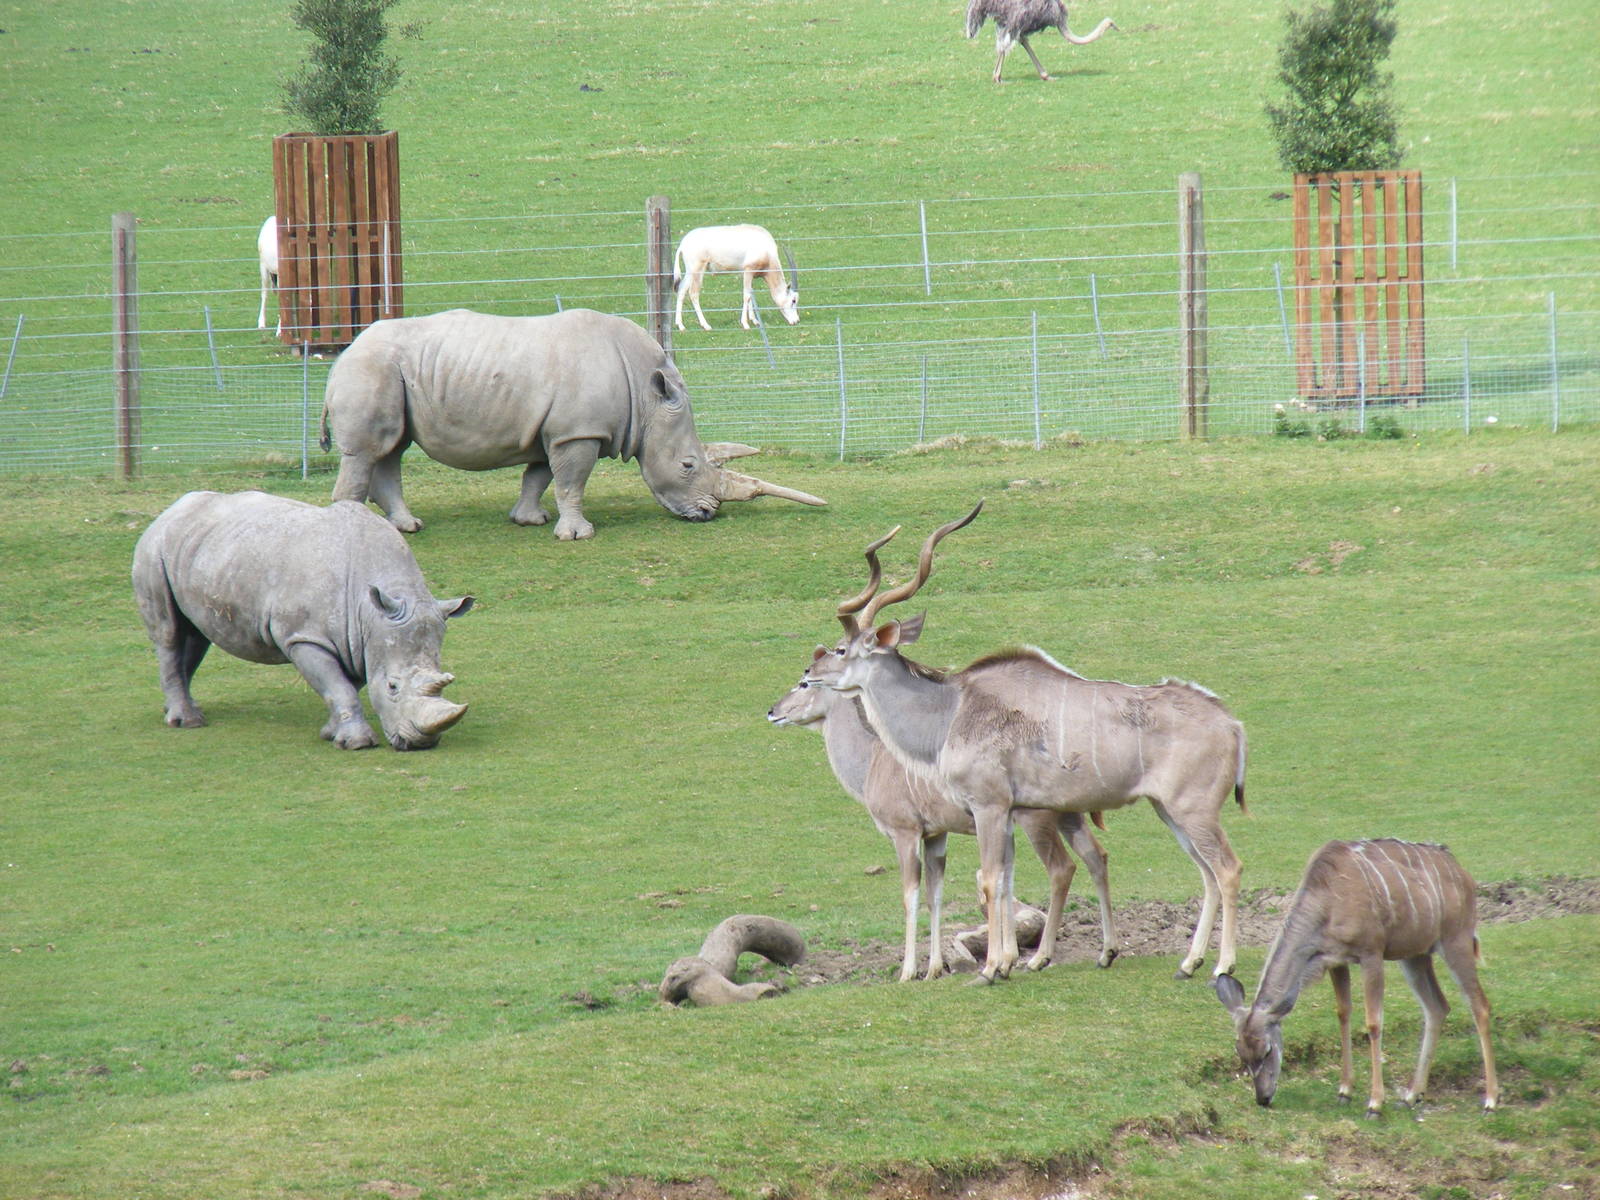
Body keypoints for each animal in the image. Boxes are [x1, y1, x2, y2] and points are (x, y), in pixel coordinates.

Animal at [132, 490, 473, 750]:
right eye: (392, 687)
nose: (419, 744)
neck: (370, 612)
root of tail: (171, 510)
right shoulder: (305, 637)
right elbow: (339, 687)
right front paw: (357, 743)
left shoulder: (357, 640)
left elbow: (345, 684)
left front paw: (331, 733)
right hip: (153, 549)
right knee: (169, 634)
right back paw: (187, 722)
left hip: (199, 551)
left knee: (195, 635)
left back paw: (183, 711)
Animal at [318, 307, 826, 540]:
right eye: (687, 466)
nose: (708, 513)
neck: (647, 396)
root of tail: (342, 355)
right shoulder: (578, 432)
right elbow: (572, 482)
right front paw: (577, 535)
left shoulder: (558, 430)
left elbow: (540, 476)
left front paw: (530, 520)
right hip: (372, 368)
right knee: (370, 450)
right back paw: (355, 532)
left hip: (390, 371)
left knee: (392, 447)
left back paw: (407, 528)